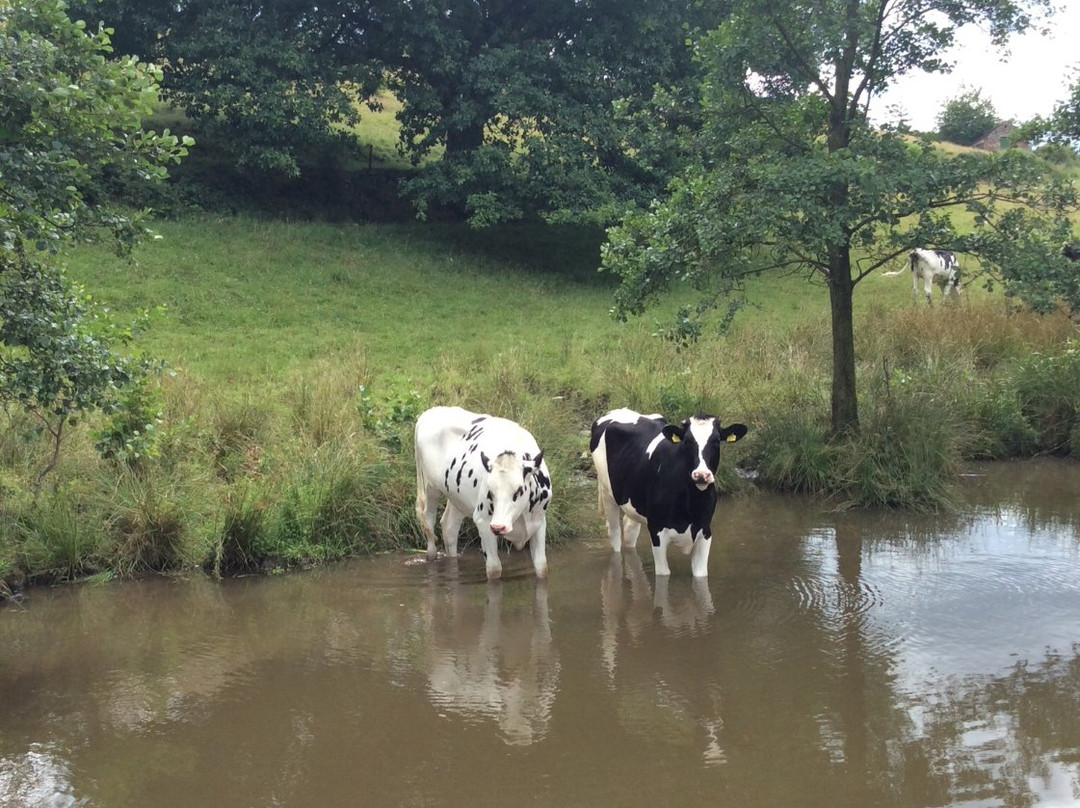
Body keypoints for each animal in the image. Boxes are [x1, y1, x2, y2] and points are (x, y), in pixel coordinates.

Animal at [410, 406, 552, 578]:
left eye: (518, 490)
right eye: (490, 491)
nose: (498, 527)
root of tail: (431, 411)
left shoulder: (539, 522)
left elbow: (542, 567)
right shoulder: (483, 521)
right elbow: (494, 569)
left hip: (457, 497)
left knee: (449, 527)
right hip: (430, 487)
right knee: (429, 522)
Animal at [587, 410, 747, 574]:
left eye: (716, 441)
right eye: (687, 441)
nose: (701, 475)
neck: (691, 506)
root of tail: (617, 411)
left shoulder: (705, 532)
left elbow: (701, 575)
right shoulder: (657, 532)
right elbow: (664, 574)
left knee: (629, 529)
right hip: (607, 492)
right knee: (615, 534)